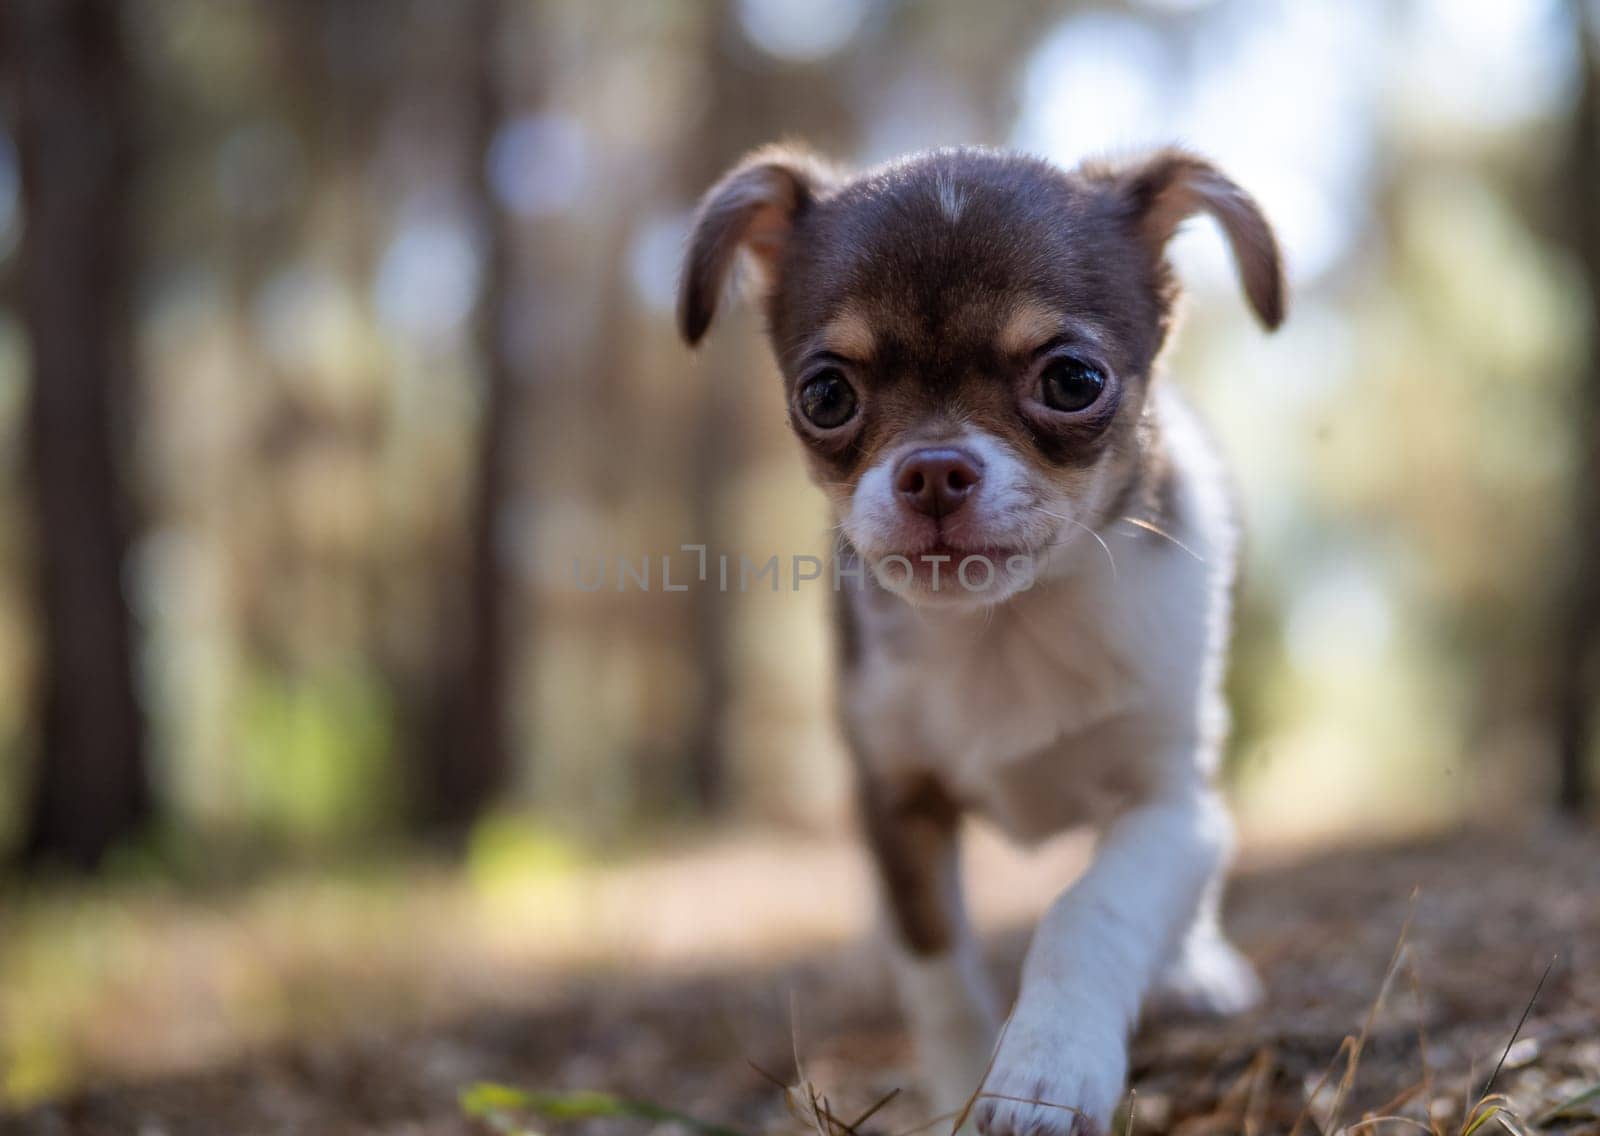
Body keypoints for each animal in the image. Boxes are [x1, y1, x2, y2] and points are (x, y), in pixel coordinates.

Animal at [681, 144, 1280, 1136]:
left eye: (1073, 381)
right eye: (825, 394)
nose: (933, 469)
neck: (1004, 628)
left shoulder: (1165, 803)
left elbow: (1092, 909)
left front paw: (1047, 1069)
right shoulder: (897, 803)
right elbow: (939, 971)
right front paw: (964, 1085)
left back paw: (1197, 969)